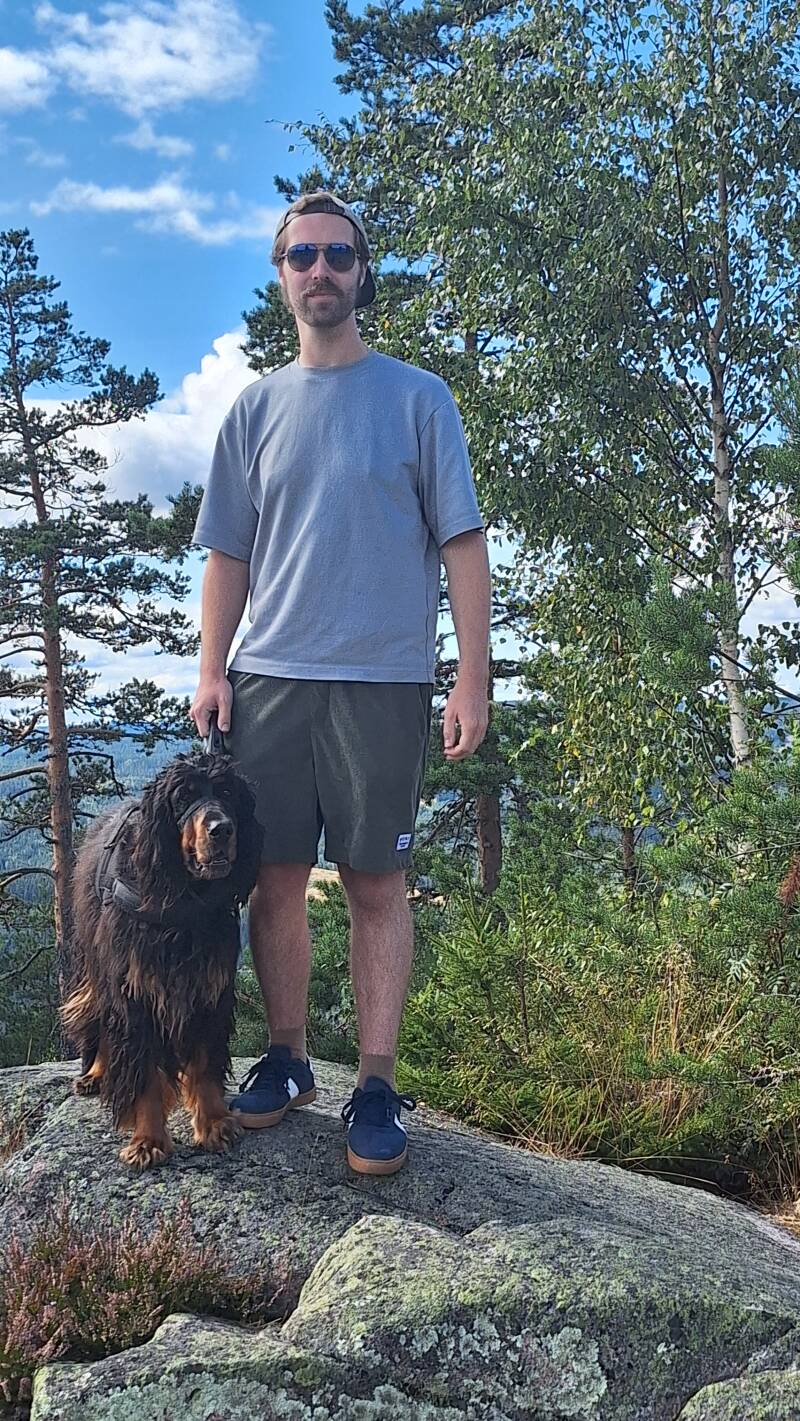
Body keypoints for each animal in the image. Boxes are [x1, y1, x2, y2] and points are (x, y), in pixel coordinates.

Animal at [61, 744, 263, 1170]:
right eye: (184, 797)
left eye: (228, 794)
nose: (222, 829)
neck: (183, 894)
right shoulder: (134, 989)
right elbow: (146, 1074)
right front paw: (148, 1139)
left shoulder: (208, 988)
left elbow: (204, 1062)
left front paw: (214, 1121)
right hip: (94, 962)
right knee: (100, 1017)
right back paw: (96, 1074)